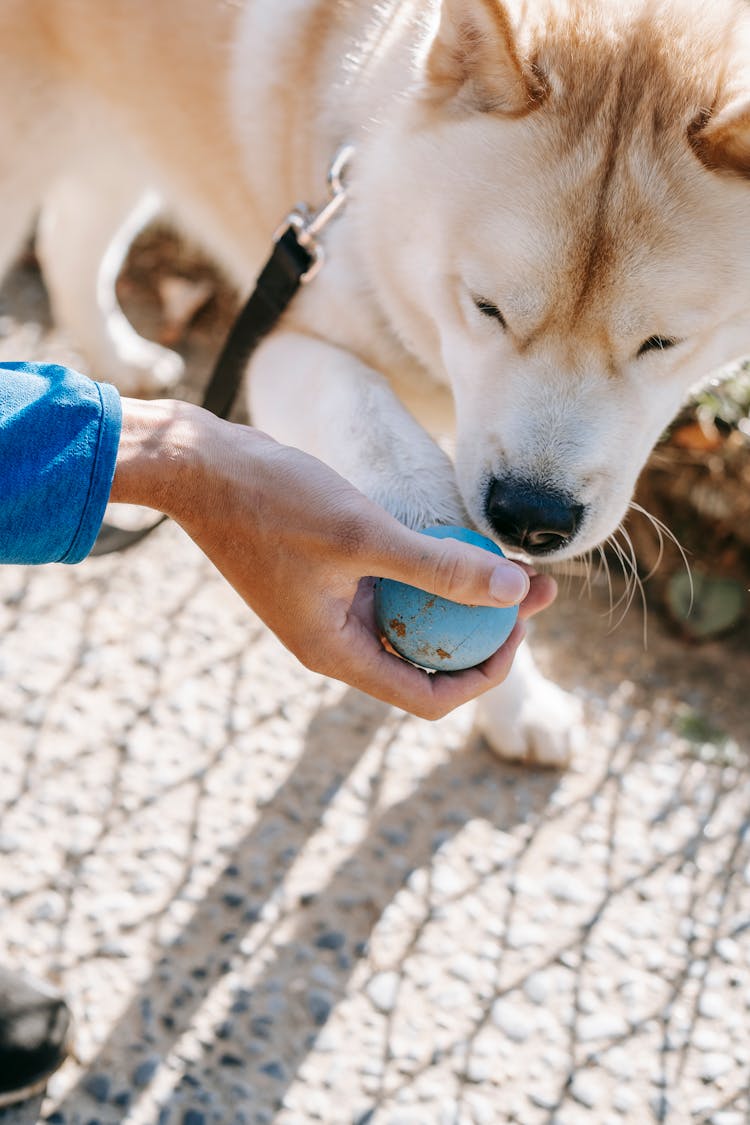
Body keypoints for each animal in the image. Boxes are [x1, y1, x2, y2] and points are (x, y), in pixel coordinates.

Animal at [5, 0, 750, 765]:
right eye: (485, 305)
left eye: (662, 343)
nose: (529, 516)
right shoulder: (284, 342)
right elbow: (389, 446)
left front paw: (517, 701)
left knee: (68, 238)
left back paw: (118, 365)